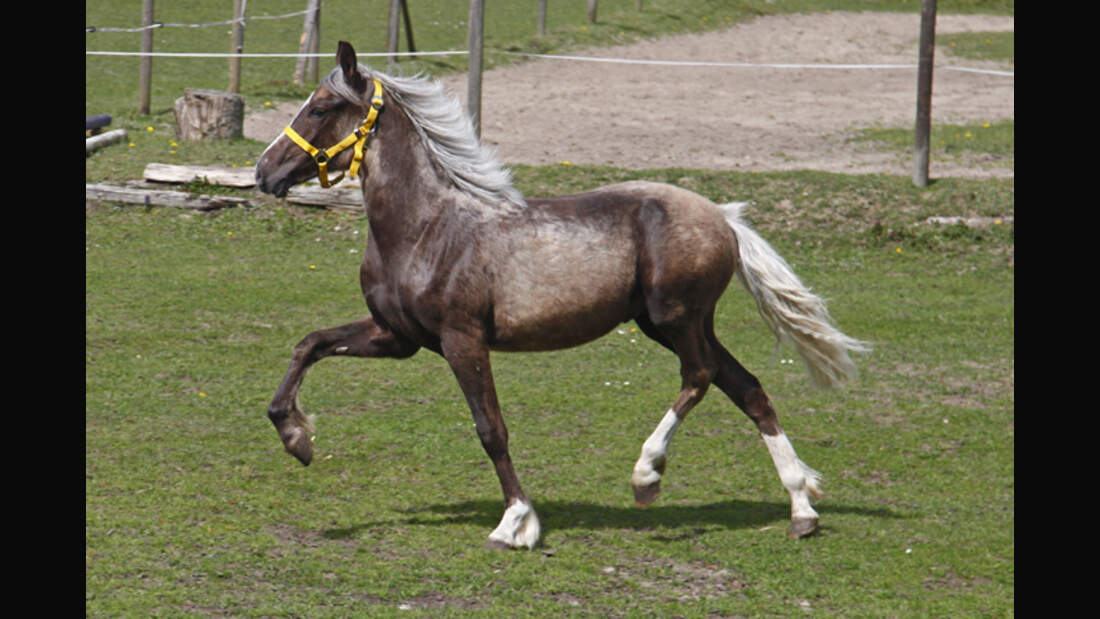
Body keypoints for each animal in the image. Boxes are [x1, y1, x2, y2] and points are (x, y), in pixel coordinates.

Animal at [255, 41, 866, 549]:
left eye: (319, 108)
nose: (264, 172)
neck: (426, 228)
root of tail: (724, 217)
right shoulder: (396, 337)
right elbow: (309, 344)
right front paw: (297, 437)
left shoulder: (461, 339)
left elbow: (491, 429)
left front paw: (516, 523)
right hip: (674, 323)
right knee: (748, 388)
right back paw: (801, 509)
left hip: (675, 317)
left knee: (701, 376)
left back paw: (647, 475)